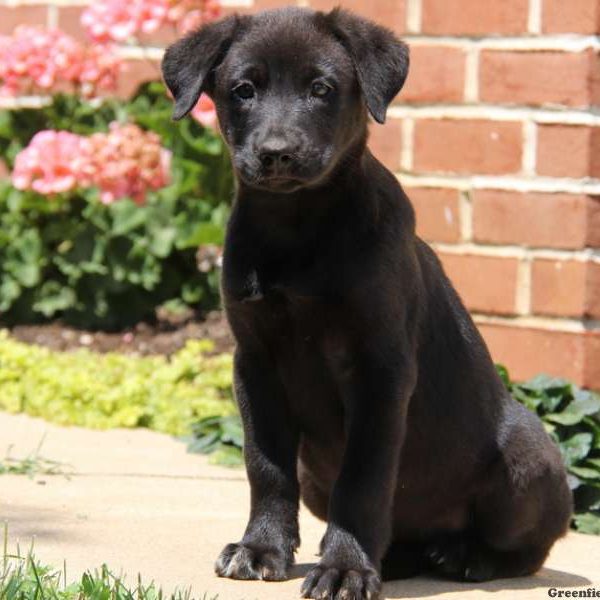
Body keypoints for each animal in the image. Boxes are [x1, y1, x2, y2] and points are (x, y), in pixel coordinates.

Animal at [163, 5, 572, 600]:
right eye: (243, 89)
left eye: (321, 88)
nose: (277, 153)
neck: (297, 229)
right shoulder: (254, 362)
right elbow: (265, 464)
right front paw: (261, 548)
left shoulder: (380, 368)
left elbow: (363, 479)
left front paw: (346, 567)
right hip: (315, 475)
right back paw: (403, 556)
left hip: (529, 456)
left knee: (532, 547)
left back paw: (467, 556)